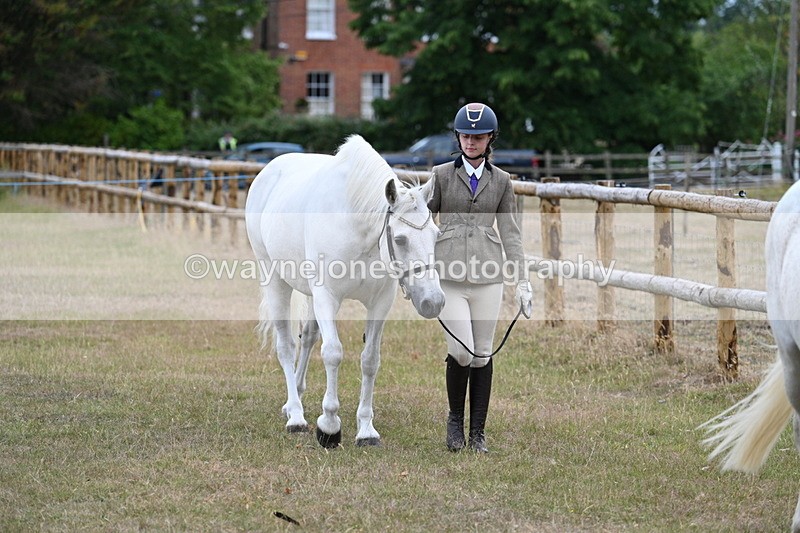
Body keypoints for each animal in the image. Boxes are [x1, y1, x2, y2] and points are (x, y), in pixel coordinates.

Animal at [244, 134, 445, 448]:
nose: (433, 301)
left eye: (436, 235)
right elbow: (333, 353)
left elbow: (370, 360)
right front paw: (329, 426)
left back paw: (295, 398)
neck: (357, 227)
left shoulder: (379, 303)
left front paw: (366, 429)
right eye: (400, 239)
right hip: (275, 279)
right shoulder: (327, 298)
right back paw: (296, 416)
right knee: (286, 346)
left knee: (307, 338)